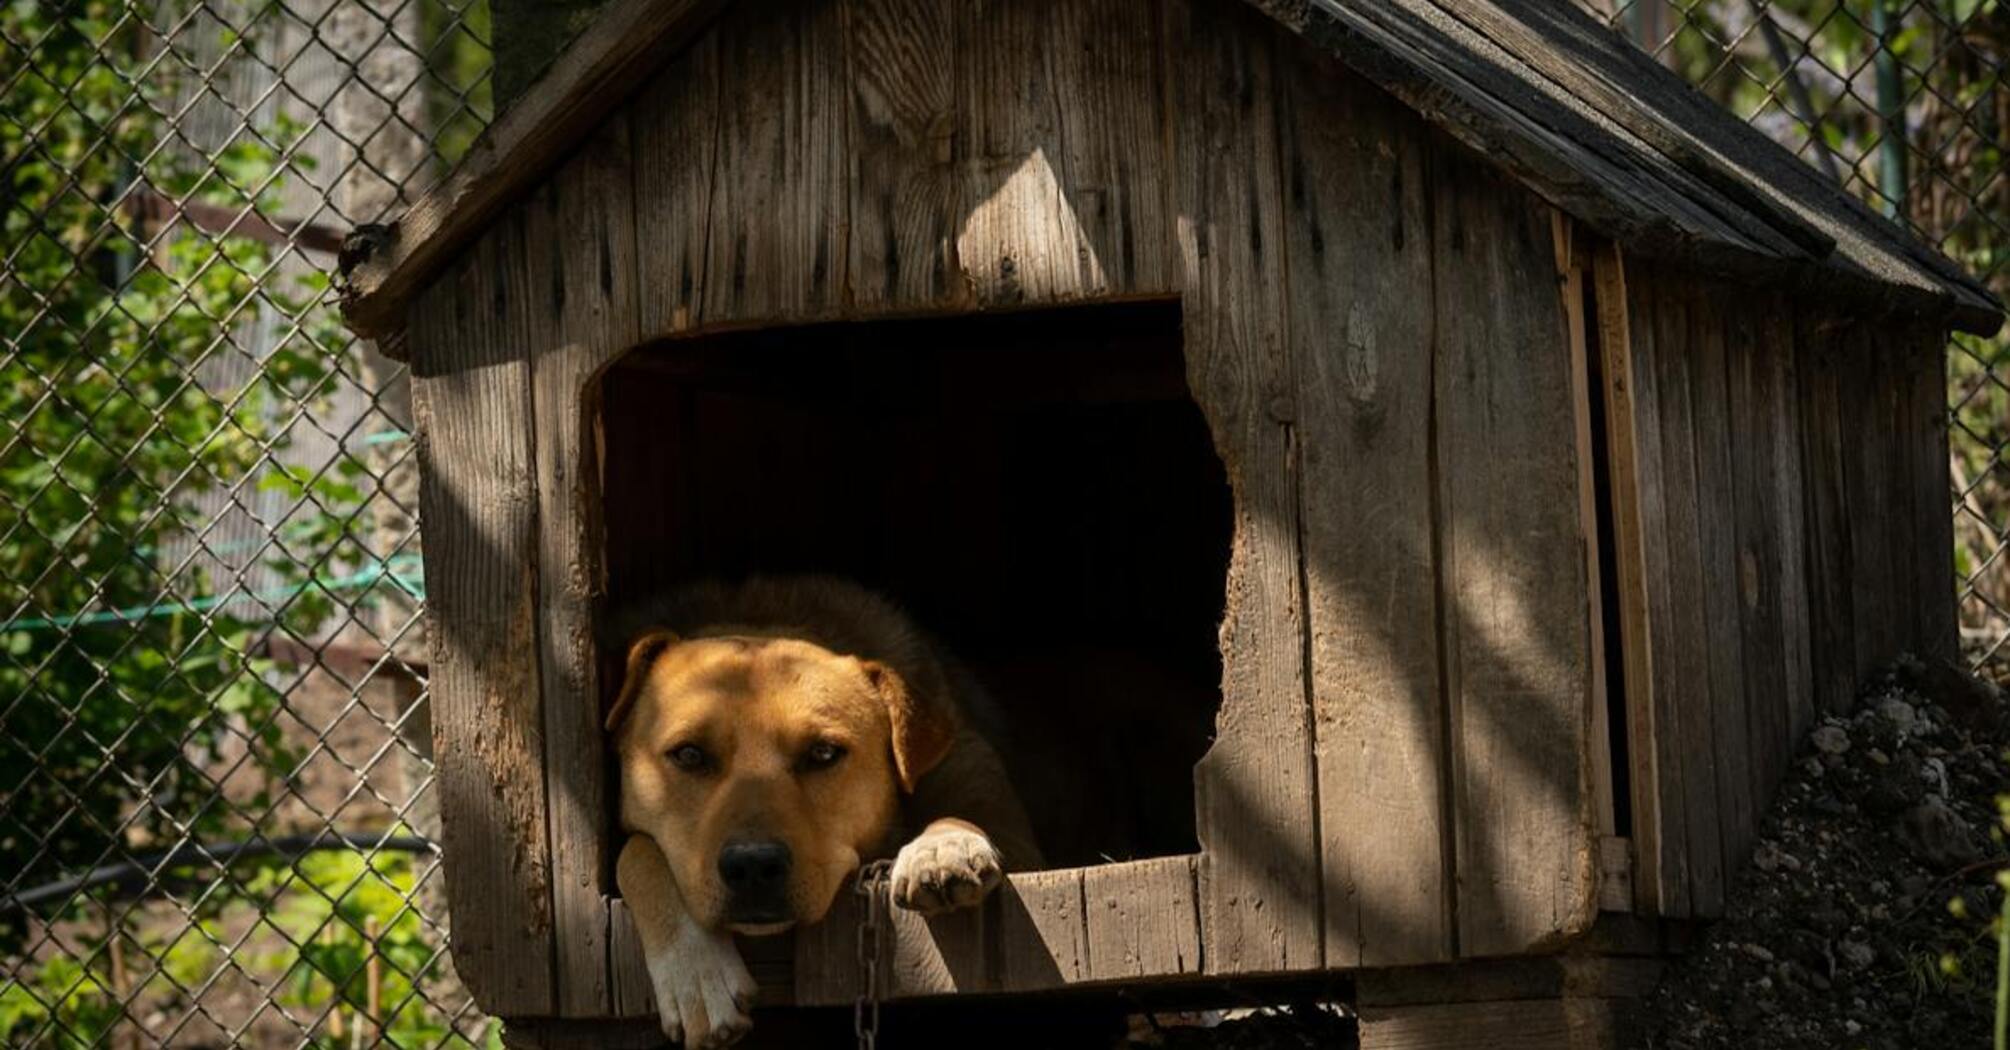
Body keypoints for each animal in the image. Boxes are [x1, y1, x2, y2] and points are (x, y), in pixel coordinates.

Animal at [603, 575, 1045, 1037]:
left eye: (823, 753)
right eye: (688, 754)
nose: (753, 866)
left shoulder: (1005, 821)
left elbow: (970, 814)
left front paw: (942, 846)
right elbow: (637, 852)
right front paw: (696, 971)